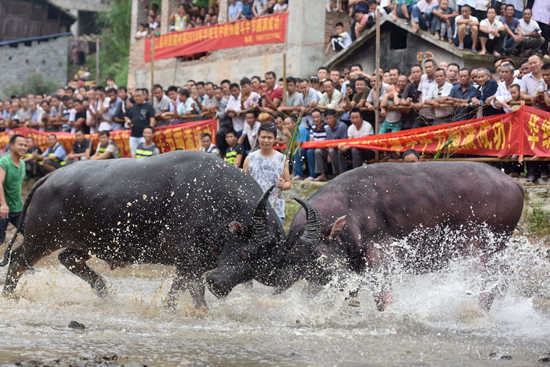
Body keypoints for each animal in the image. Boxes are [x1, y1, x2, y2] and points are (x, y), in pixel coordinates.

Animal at [1, 151, 320, 310]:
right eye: (245, 251)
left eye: (256, 270)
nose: (218, 282)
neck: (216, 202)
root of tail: (48, 178)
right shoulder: (190, 260)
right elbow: (191, 289)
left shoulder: (193, 264)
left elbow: (183, 288)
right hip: (40, 239)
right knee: (18, 260)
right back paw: (9, 296)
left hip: (82, 243)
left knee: (69, 259)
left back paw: (105, 292)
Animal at [208, 162, 528, 312]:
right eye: (295, 262)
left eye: (319, 257)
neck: (353, 209)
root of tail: (513, 184)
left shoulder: (381, 258)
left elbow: (381, 296)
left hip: (483, 249)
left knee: (489, 282)